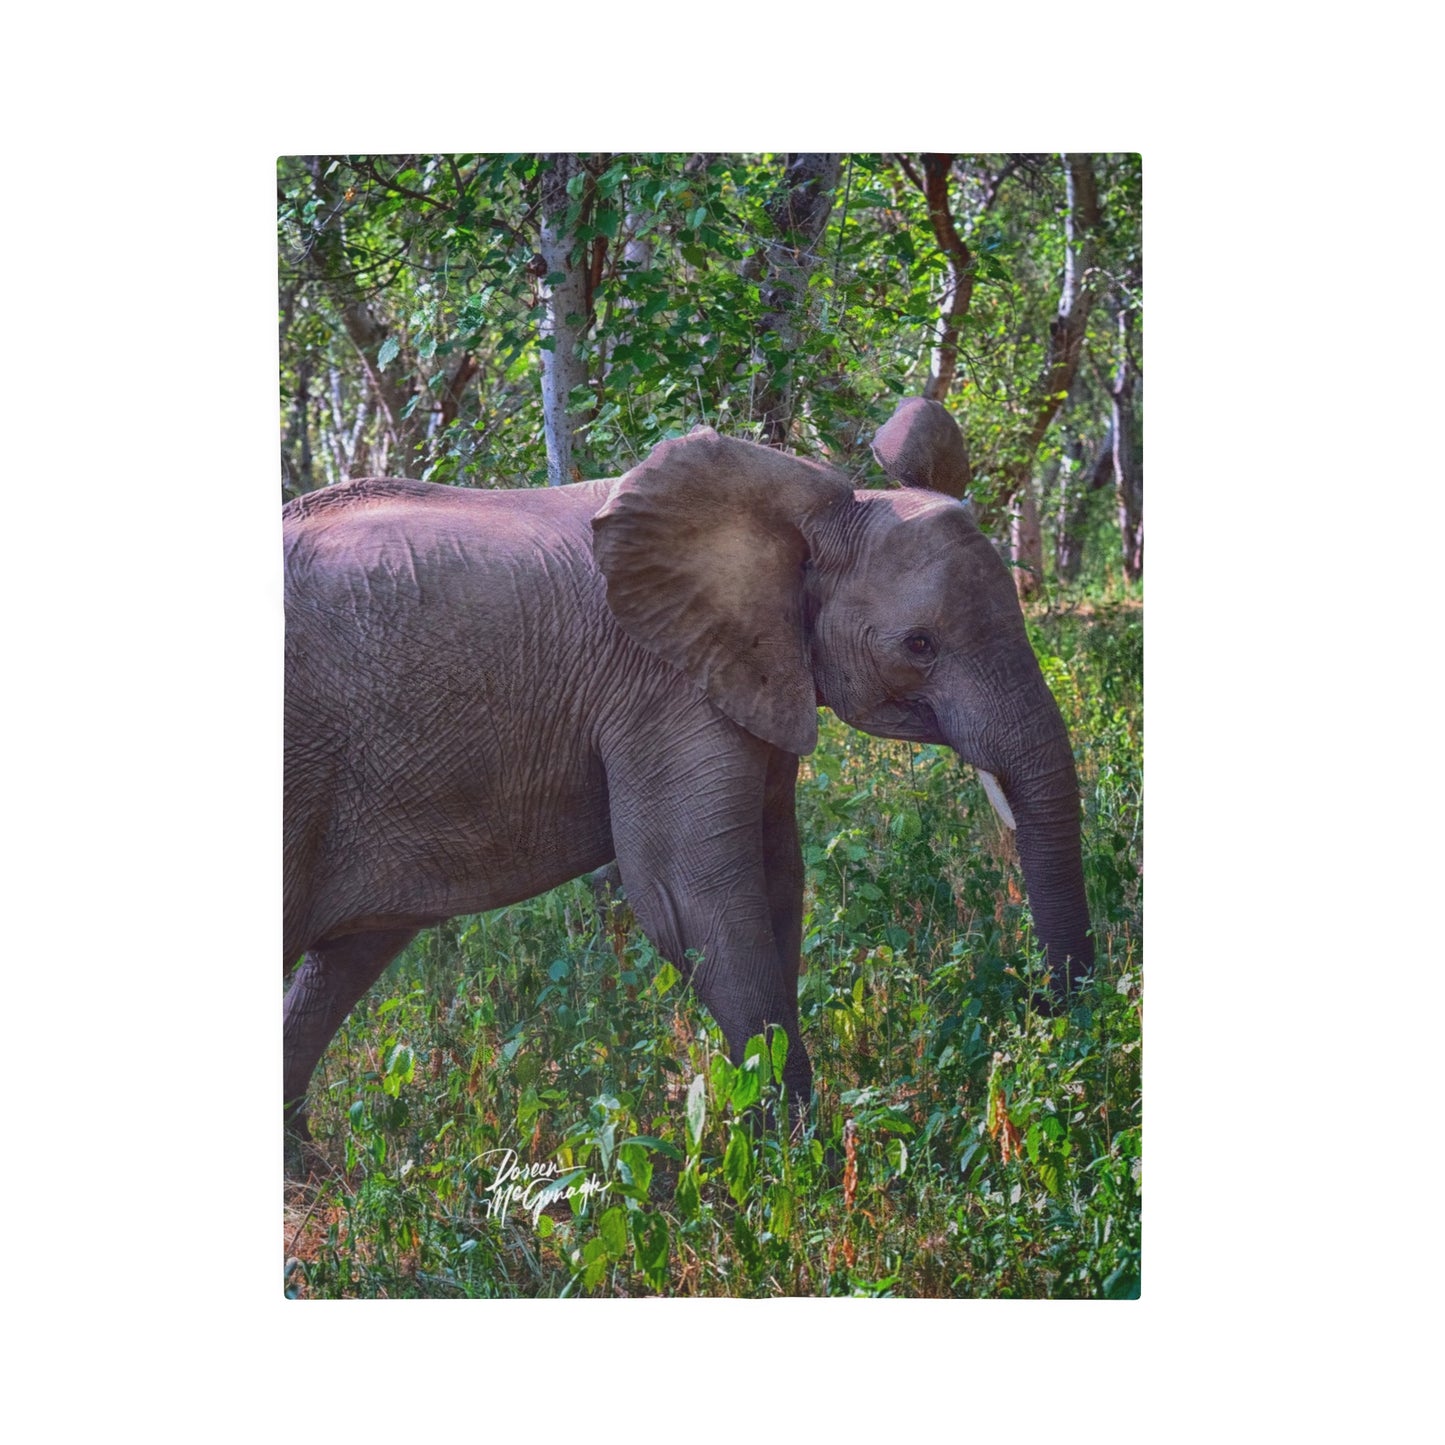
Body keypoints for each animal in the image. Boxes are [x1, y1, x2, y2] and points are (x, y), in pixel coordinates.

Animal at [283, 397, 1093, 1148]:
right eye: (918, 645)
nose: (1046, 1018)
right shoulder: (661, 687)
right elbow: (691, 895)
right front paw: (791, 1163)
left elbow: (776, 879)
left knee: (349, 955)